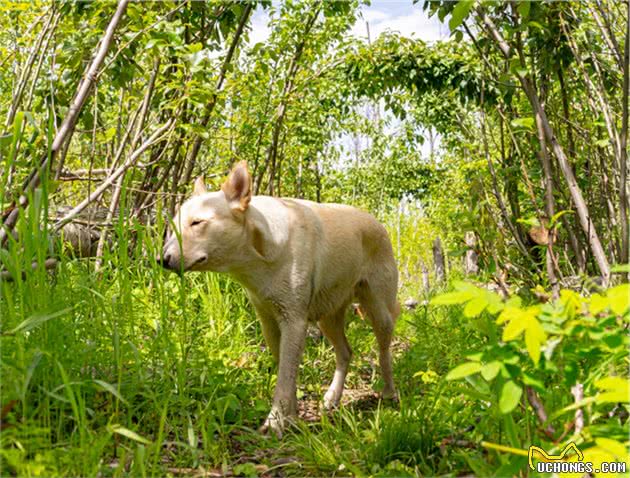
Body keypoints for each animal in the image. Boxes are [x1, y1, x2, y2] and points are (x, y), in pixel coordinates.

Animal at [163, 162, 400, 436]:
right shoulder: (269, 321)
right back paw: (332, 398)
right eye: (176, 225)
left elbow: (285, 377)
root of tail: (376, 222)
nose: (162, 259)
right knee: (345, 352)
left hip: (379, 311)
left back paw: (390, 393)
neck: (260, 256)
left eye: (197, 223)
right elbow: (285, 374)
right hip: (328, 319)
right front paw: (292, 418)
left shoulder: (294, 321)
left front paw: (275, 422)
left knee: (384, 352)